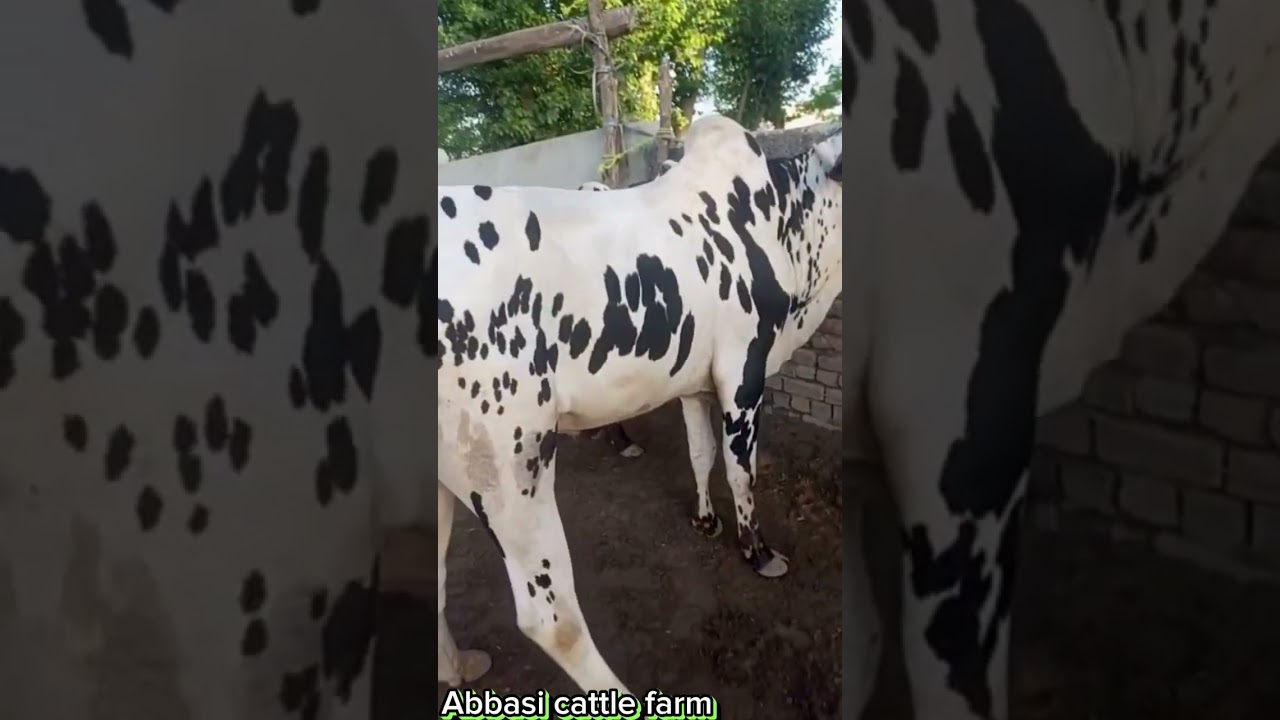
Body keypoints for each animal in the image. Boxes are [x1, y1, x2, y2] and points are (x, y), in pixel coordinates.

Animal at [437, 115, 843, 692]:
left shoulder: (697, 382)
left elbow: (701, 454)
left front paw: (704, 521)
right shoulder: (743, 373)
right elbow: (742, 470)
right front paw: (758, 552)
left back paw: (459, 667)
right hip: (508, 463)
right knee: (553, 620)